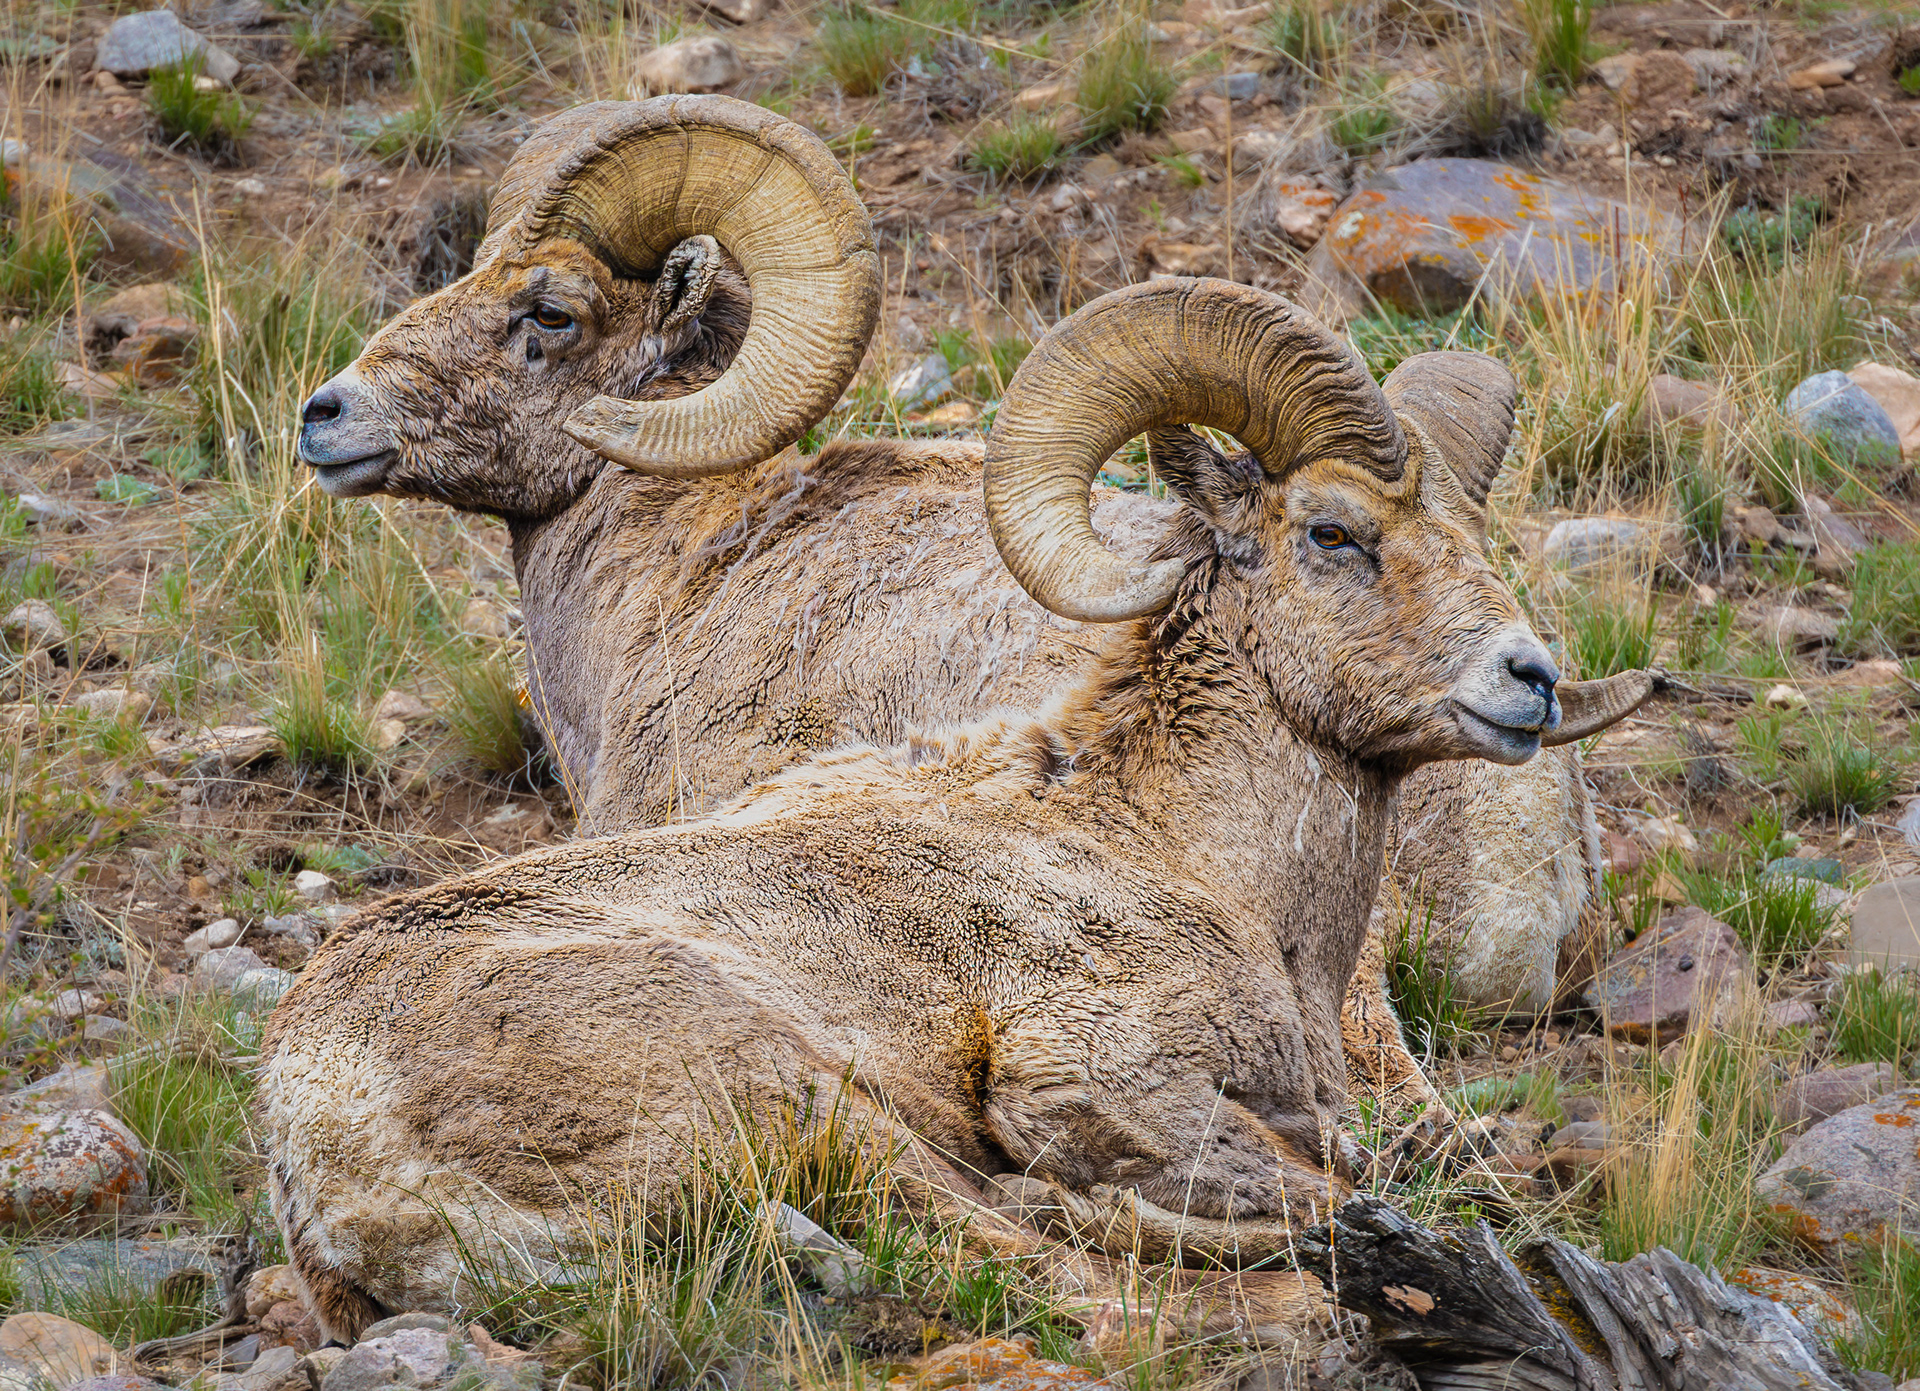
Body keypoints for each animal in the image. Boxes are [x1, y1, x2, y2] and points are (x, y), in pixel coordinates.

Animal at [265, 277, 1661, 1344]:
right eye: (1335, 532)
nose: (1528, 679)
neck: (1183, 852)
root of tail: (318, 1140)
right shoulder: (1097, 1086)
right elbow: (1307, 1184)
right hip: (791, 1085)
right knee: (1044, 1265)